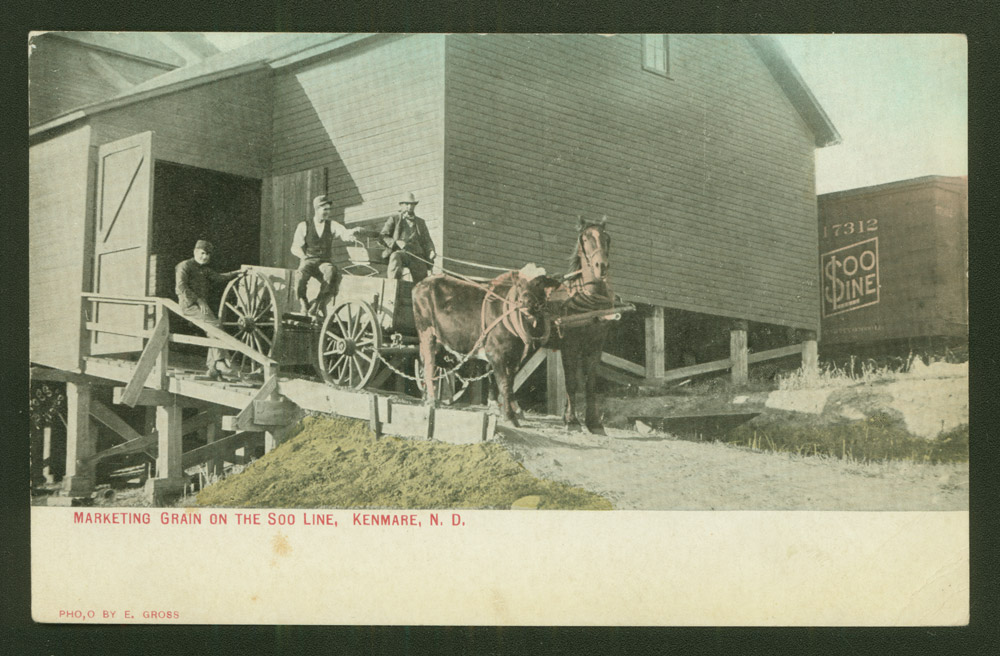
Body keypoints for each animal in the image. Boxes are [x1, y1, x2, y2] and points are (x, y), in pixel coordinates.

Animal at [414, 262, 556, 426]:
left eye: (539, 283)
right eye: (519, 284)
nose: (525, 303)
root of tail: (422, 282)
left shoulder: (514, 357)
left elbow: (508, 383)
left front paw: (510, 410)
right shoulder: (495, 353)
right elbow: (503, 383)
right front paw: (509, 417)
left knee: (427, 364)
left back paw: (426, 398)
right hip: (426, 333)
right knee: (429, 365)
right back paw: (431, 401)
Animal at [544, 215, 612, 436]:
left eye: (607, 238)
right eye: (585, 238)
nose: (601, 265)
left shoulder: (596, 346)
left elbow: (590, 383)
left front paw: (594, 423)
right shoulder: (570, 346)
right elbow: (571, 382)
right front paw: (572, 421)